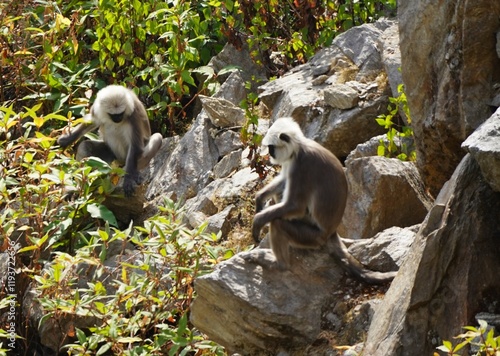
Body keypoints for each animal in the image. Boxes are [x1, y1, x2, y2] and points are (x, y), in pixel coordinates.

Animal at [254, 118, 398, 286]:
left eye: (271, 147)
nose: (270, 154)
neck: (300, 147)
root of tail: (331, 232)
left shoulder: (302, 165)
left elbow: (295, 206)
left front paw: (258, 221)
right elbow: (283, 181)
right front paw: (259, 197)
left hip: (311, 237)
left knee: (278, 223)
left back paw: (279, 264)